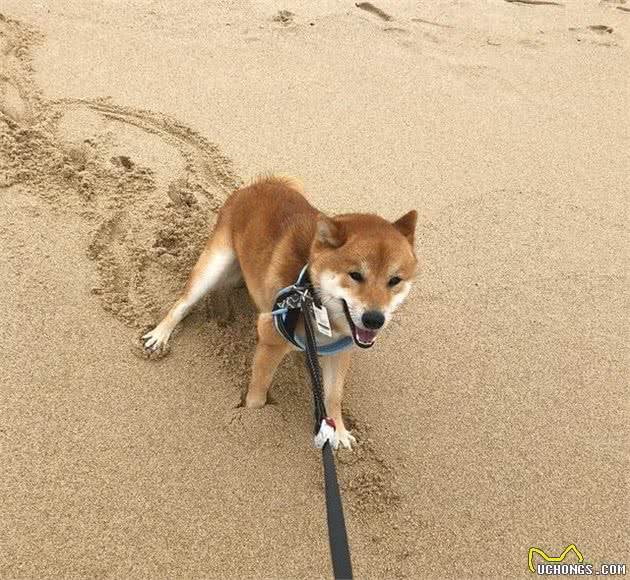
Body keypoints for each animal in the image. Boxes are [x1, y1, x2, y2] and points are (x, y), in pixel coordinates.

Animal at [143, 177, 420, 448]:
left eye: (394, 280)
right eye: (355, 275)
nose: (374, 319)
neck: (313, 297)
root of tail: (261, 183)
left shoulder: (340, 350)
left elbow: (334, 395)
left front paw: (338, 430)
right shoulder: (271, 337)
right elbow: (259, 390)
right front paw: (255, 420)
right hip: (215, 265)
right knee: (183, 303)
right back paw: (161, 334)